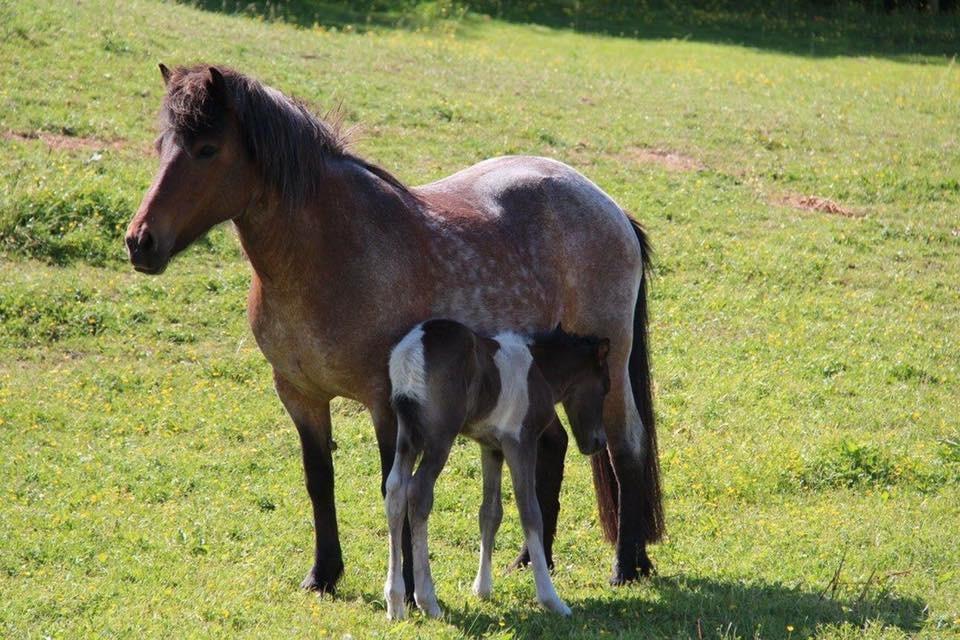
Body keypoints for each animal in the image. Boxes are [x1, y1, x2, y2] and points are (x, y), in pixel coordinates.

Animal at [382, 320, 608, 620]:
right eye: (605, 388)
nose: (598, 442)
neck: (540, 369)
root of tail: (413, 348)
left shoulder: (491, 448)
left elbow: (490, 512)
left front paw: (482, 588)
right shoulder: (520, 442)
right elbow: (530, 512)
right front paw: (551, 600)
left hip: (407, 436)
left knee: (395, 491)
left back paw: (395, 602)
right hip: (439, 437)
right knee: (419, 492)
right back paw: (428, 601)